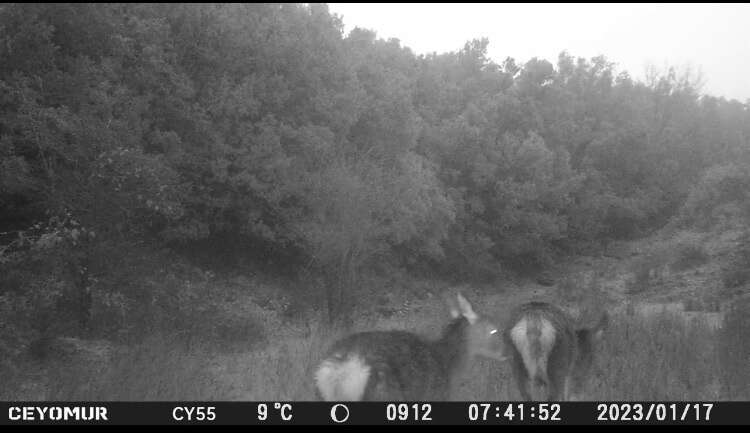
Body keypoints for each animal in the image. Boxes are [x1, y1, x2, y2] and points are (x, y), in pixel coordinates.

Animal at [314, 292, 508, 400]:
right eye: (494, 330)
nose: (506, 353)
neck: (448, 366)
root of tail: (341, 371)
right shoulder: (436, 394)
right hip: (385, 393)